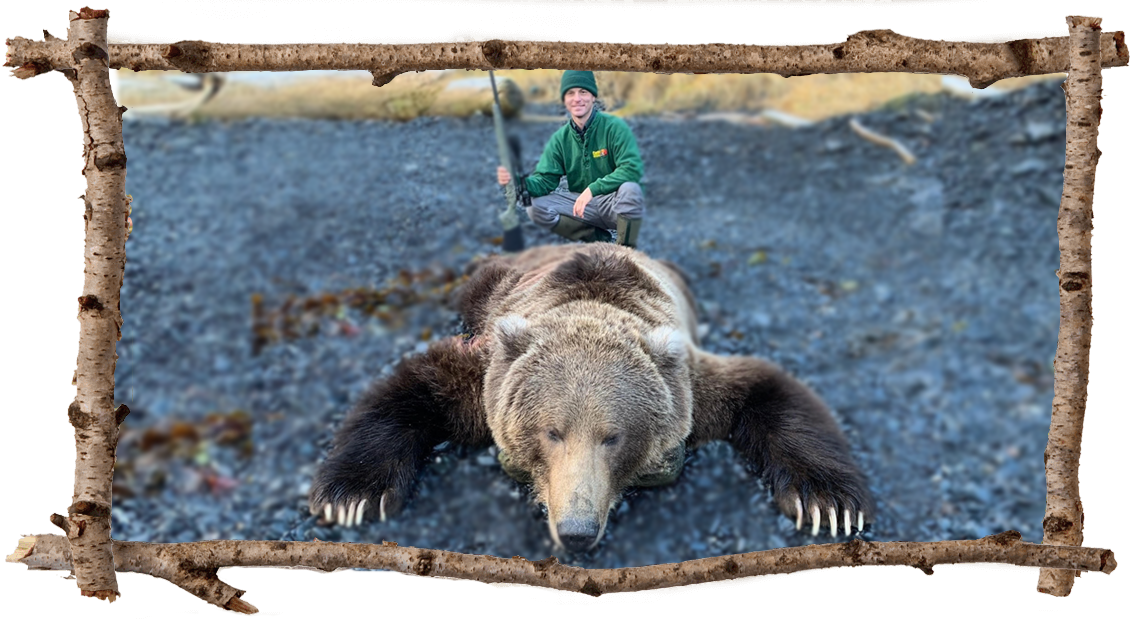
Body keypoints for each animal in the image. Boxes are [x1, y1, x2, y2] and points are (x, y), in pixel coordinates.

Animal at [310, 240, 874, 548]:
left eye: (614, 437)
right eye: (550, 432)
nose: (578, 530)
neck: (592, 304)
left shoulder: (692, 384)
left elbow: (769, 389)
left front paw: (828, 503)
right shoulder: (487, 376)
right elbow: (414, 386)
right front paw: (352, 495)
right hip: (493, 282)